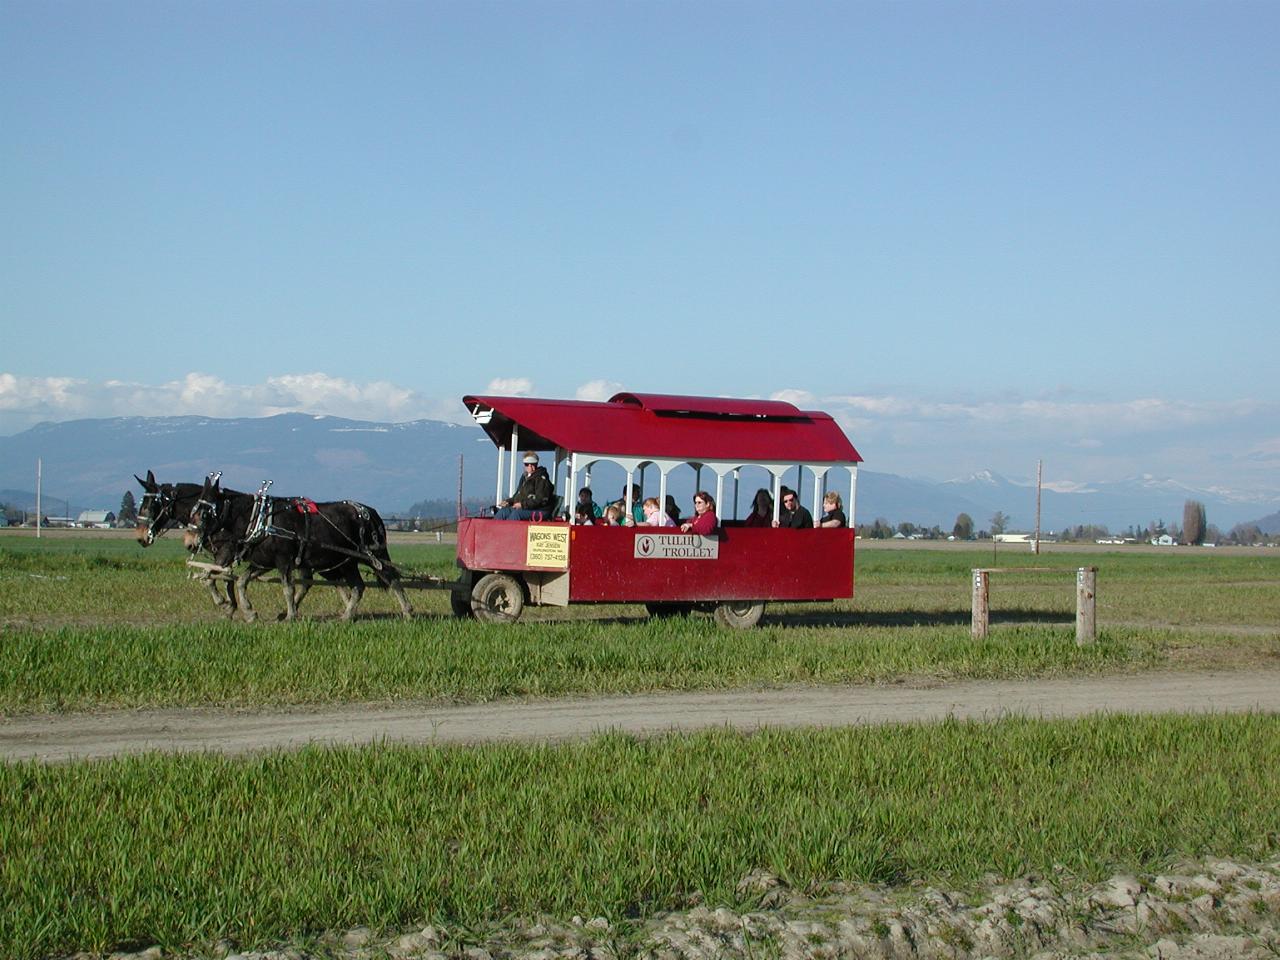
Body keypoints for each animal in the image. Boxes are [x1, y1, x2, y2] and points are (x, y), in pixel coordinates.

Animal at [185, 473, 412, 624]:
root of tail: (371, 512)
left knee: (392, 578)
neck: (260, 520)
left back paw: (407, 611)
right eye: (192, 511)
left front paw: (290, 615)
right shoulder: (263, 562)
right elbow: (241, 581)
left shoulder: (283, 561)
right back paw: (347, 615)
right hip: (347, 562)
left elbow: (288, 588)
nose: (189, 541)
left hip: (373, 554)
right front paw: (250, 613)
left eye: (203, 513)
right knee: (357, 586)